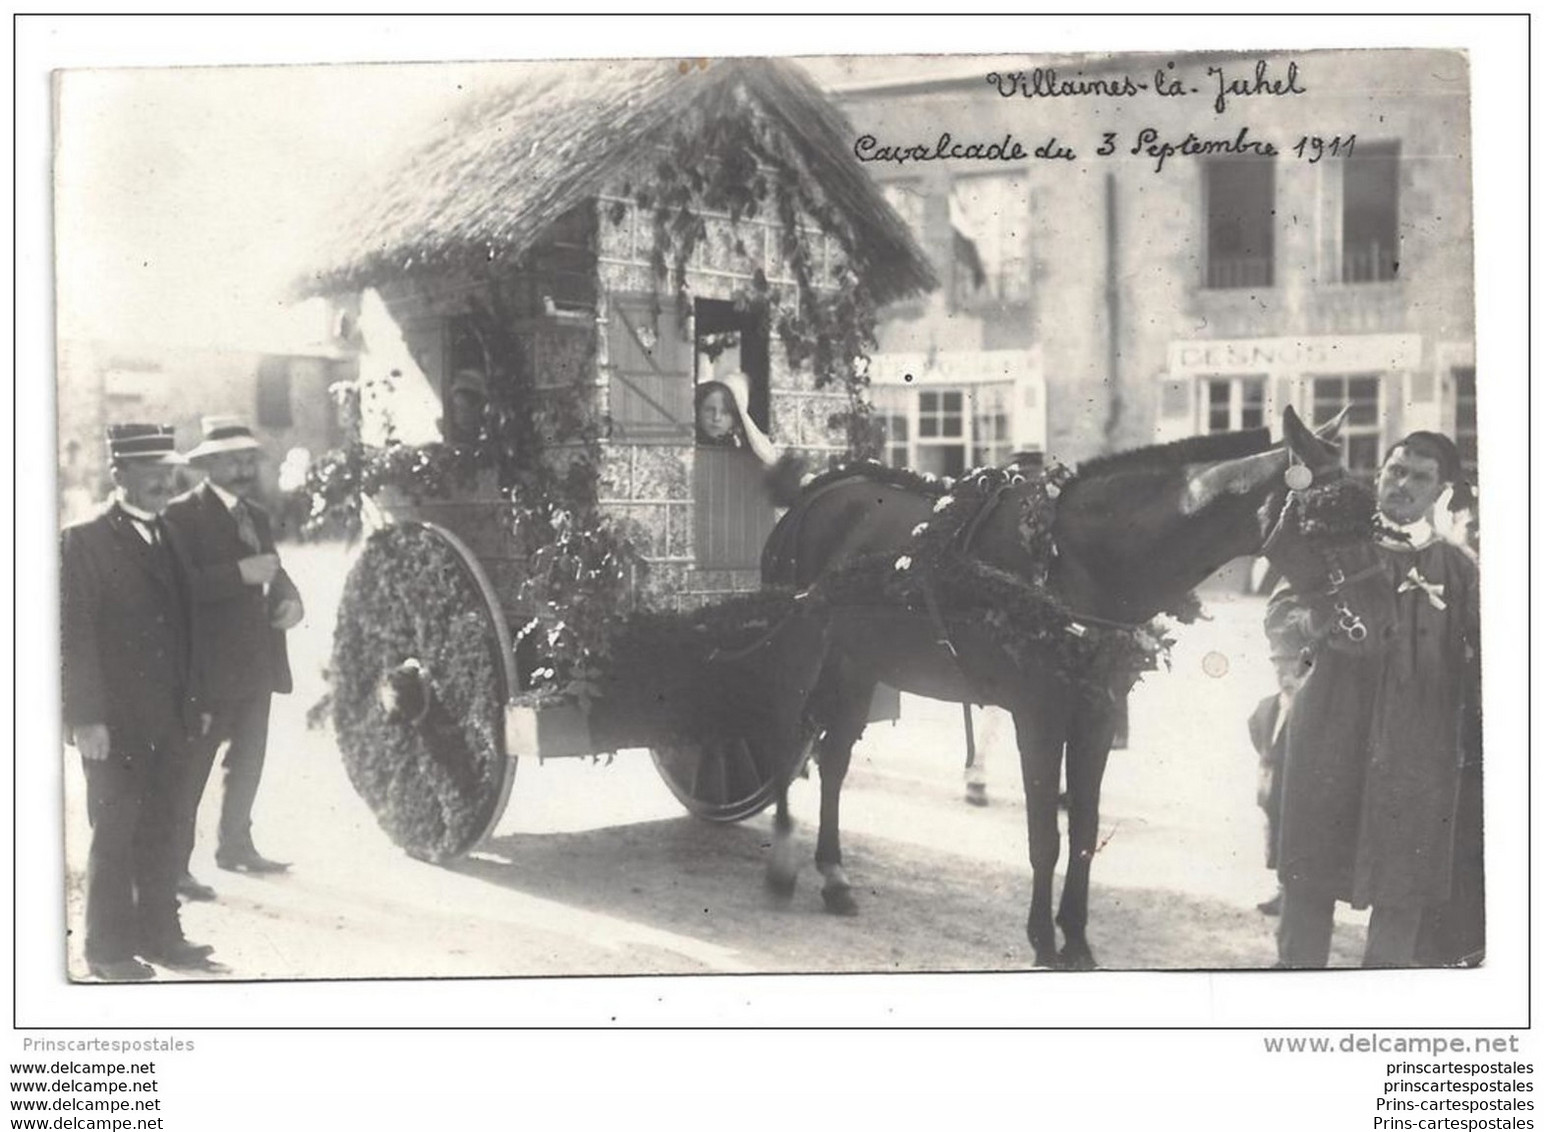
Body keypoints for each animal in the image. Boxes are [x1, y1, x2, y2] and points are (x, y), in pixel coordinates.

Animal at [753, 401, 1346, 969]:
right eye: (1334, 515)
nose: (1355, 616)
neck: (1071, 560)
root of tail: (815, 493)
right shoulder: (1038, 716)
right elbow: (1046, 838)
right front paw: (1042, 939)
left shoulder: (1097, 715)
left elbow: (1083, 831)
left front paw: (1077, 939)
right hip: (801, 654)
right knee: (783, 740)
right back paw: (782, 865)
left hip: (857, 666)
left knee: (832, 760)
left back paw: (834, 876)